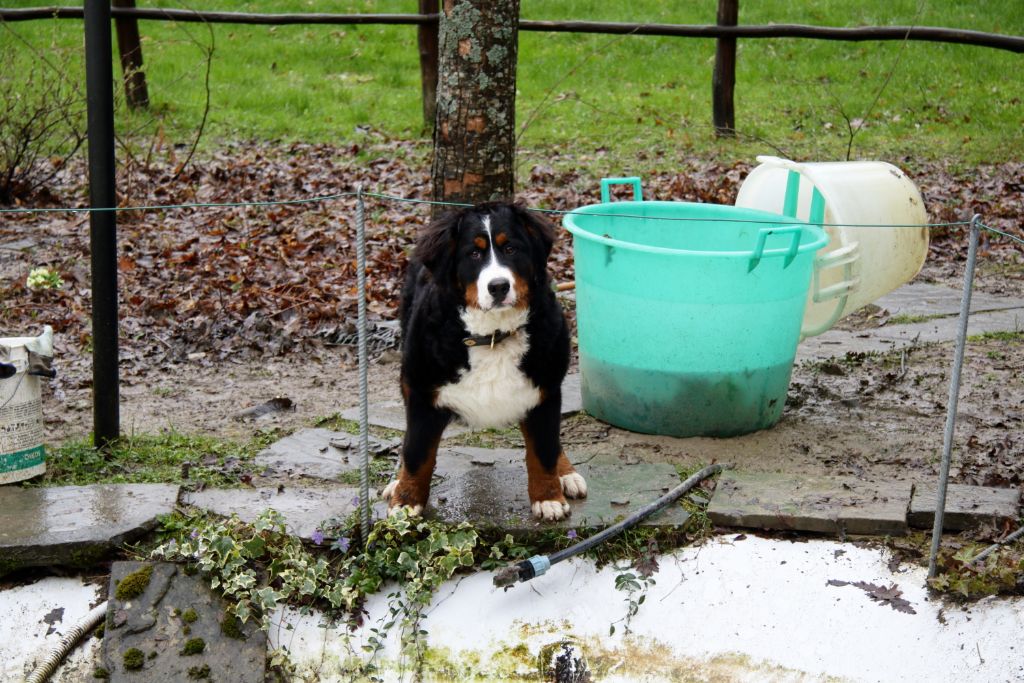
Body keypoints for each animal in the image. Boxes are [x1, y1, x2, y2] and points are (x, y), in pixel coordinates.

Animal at [382, 200, 593, 520]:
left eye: (511, 249)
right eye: (474, 253)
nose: (498, 286)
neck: (493, 335)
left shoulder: (544, 391)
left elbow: (543, 450)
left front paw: (549, 497)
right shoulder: (422, 393)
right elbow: (416, 453)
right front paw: (405, 502)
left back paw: (566, 474)